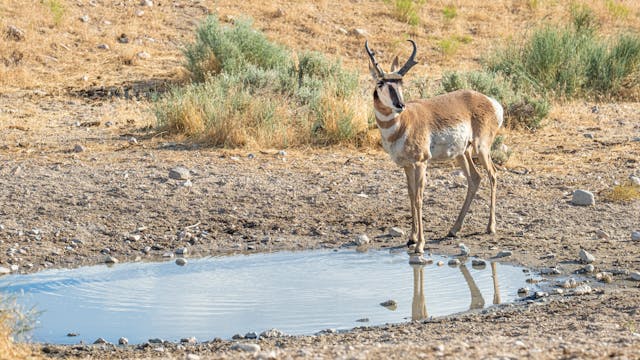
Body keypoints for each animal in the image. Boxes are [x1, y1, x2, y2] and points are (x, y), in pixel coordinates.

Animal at [368, 39, 502, 260]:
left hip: (481, 149)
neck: (403, 123)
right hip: (462, 154)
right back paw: (454, 229)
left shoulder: (421, 163)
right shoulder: (407, 166)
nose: (400, 104)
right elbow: (411, 195)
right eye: (381, 83)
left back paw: (490, 227)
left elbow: (419, 198)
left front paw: (420, 245)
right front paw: (412, 238)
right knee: (475, 178)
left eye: (401, 82)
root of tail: (488, 100)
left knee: (493, 174)